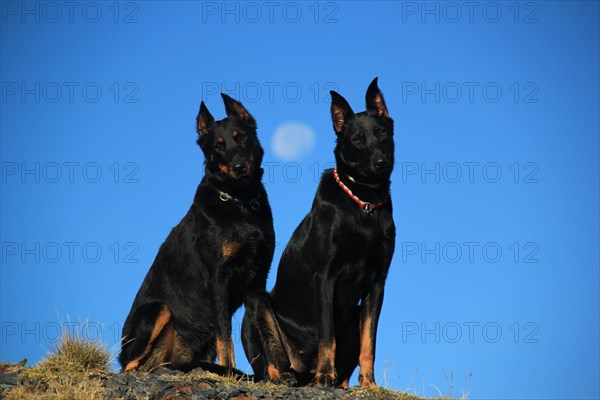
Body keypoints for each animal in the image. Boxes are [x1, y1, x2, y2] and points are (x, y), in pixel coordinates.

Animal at [119, 93, 274, 372]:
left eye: (241, 136)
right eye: (218, 146)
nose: (238, 166)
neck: (240, 201)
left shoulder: (259, 280)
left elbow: (261, 330)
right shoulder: (218, 281)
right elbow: (225, 335)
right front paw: (230, 370)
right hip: (158, 310)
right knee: (129, 365)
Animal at [241, 78, 396, 388]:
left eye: (382, 132)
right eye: (357, 139)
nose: (381, 162)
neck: (364, 204)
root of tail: (301, 370)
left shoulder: (377, 285)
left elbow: (369, 342)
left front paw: (369, 383)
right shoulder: (326, 277)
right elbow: (327, 335)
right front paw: (324, 375)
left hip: (355, 313)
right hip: (255, 303)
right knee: (270, 365)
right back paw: (289, 376)